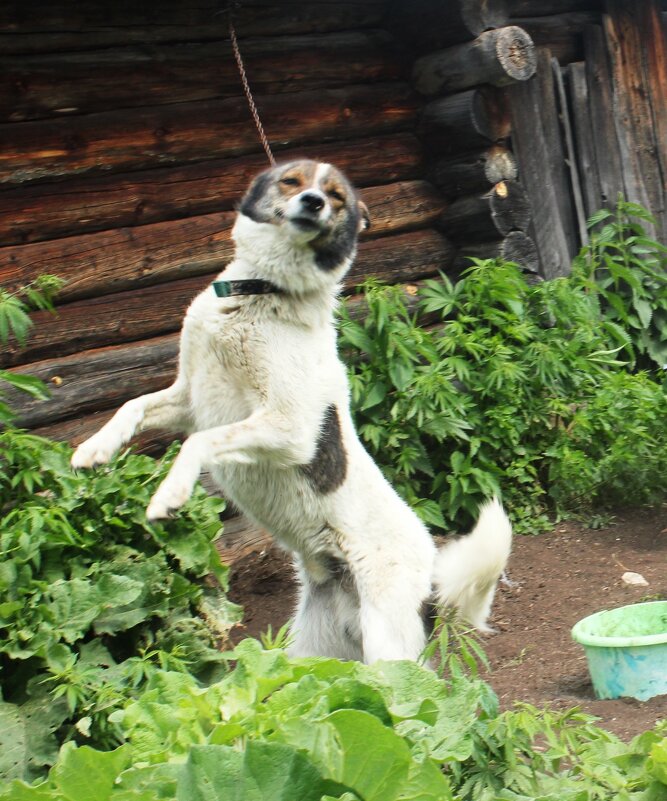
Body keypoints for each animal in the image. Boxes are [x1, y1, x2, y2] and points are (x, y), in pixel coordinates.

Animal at [72, 158, 512, 664]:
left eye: (336, 196)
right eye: (292, 181)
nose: (314, 203)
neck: (260, 293)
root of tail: (432, 581)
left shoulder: (291, 429)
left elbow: (202, 441)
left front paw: (170, 495)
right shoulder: (189, 398)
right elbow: (132, 405)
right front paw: (93, 450)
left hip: (387, 646)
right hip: (311, 652)